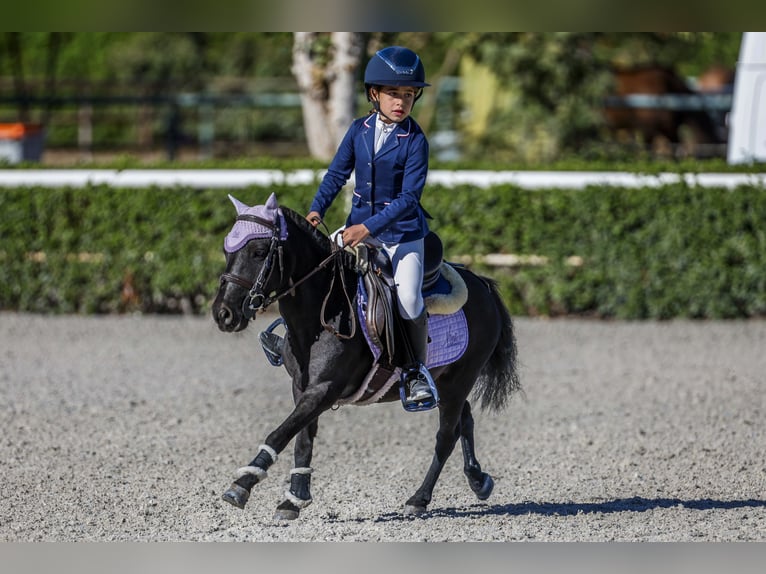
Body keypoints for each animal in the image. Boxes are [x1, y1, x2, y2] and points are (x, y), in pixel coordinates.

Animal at [212, 194, 520, 520]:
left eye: (259, 252)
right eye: (226, 250)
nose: (223, 314)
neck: (324, 309)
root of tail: (480, 283)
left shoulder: (325, 389)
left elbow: (279, 434)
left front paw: (243, 484)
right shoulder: (302, 387)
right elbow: (302, 439)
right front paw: (294, 499)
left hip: (460, 380)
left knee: (446, 436)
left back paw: (419, 499)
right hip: (447, 382)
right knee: (465, 418)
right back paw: (478, 480)